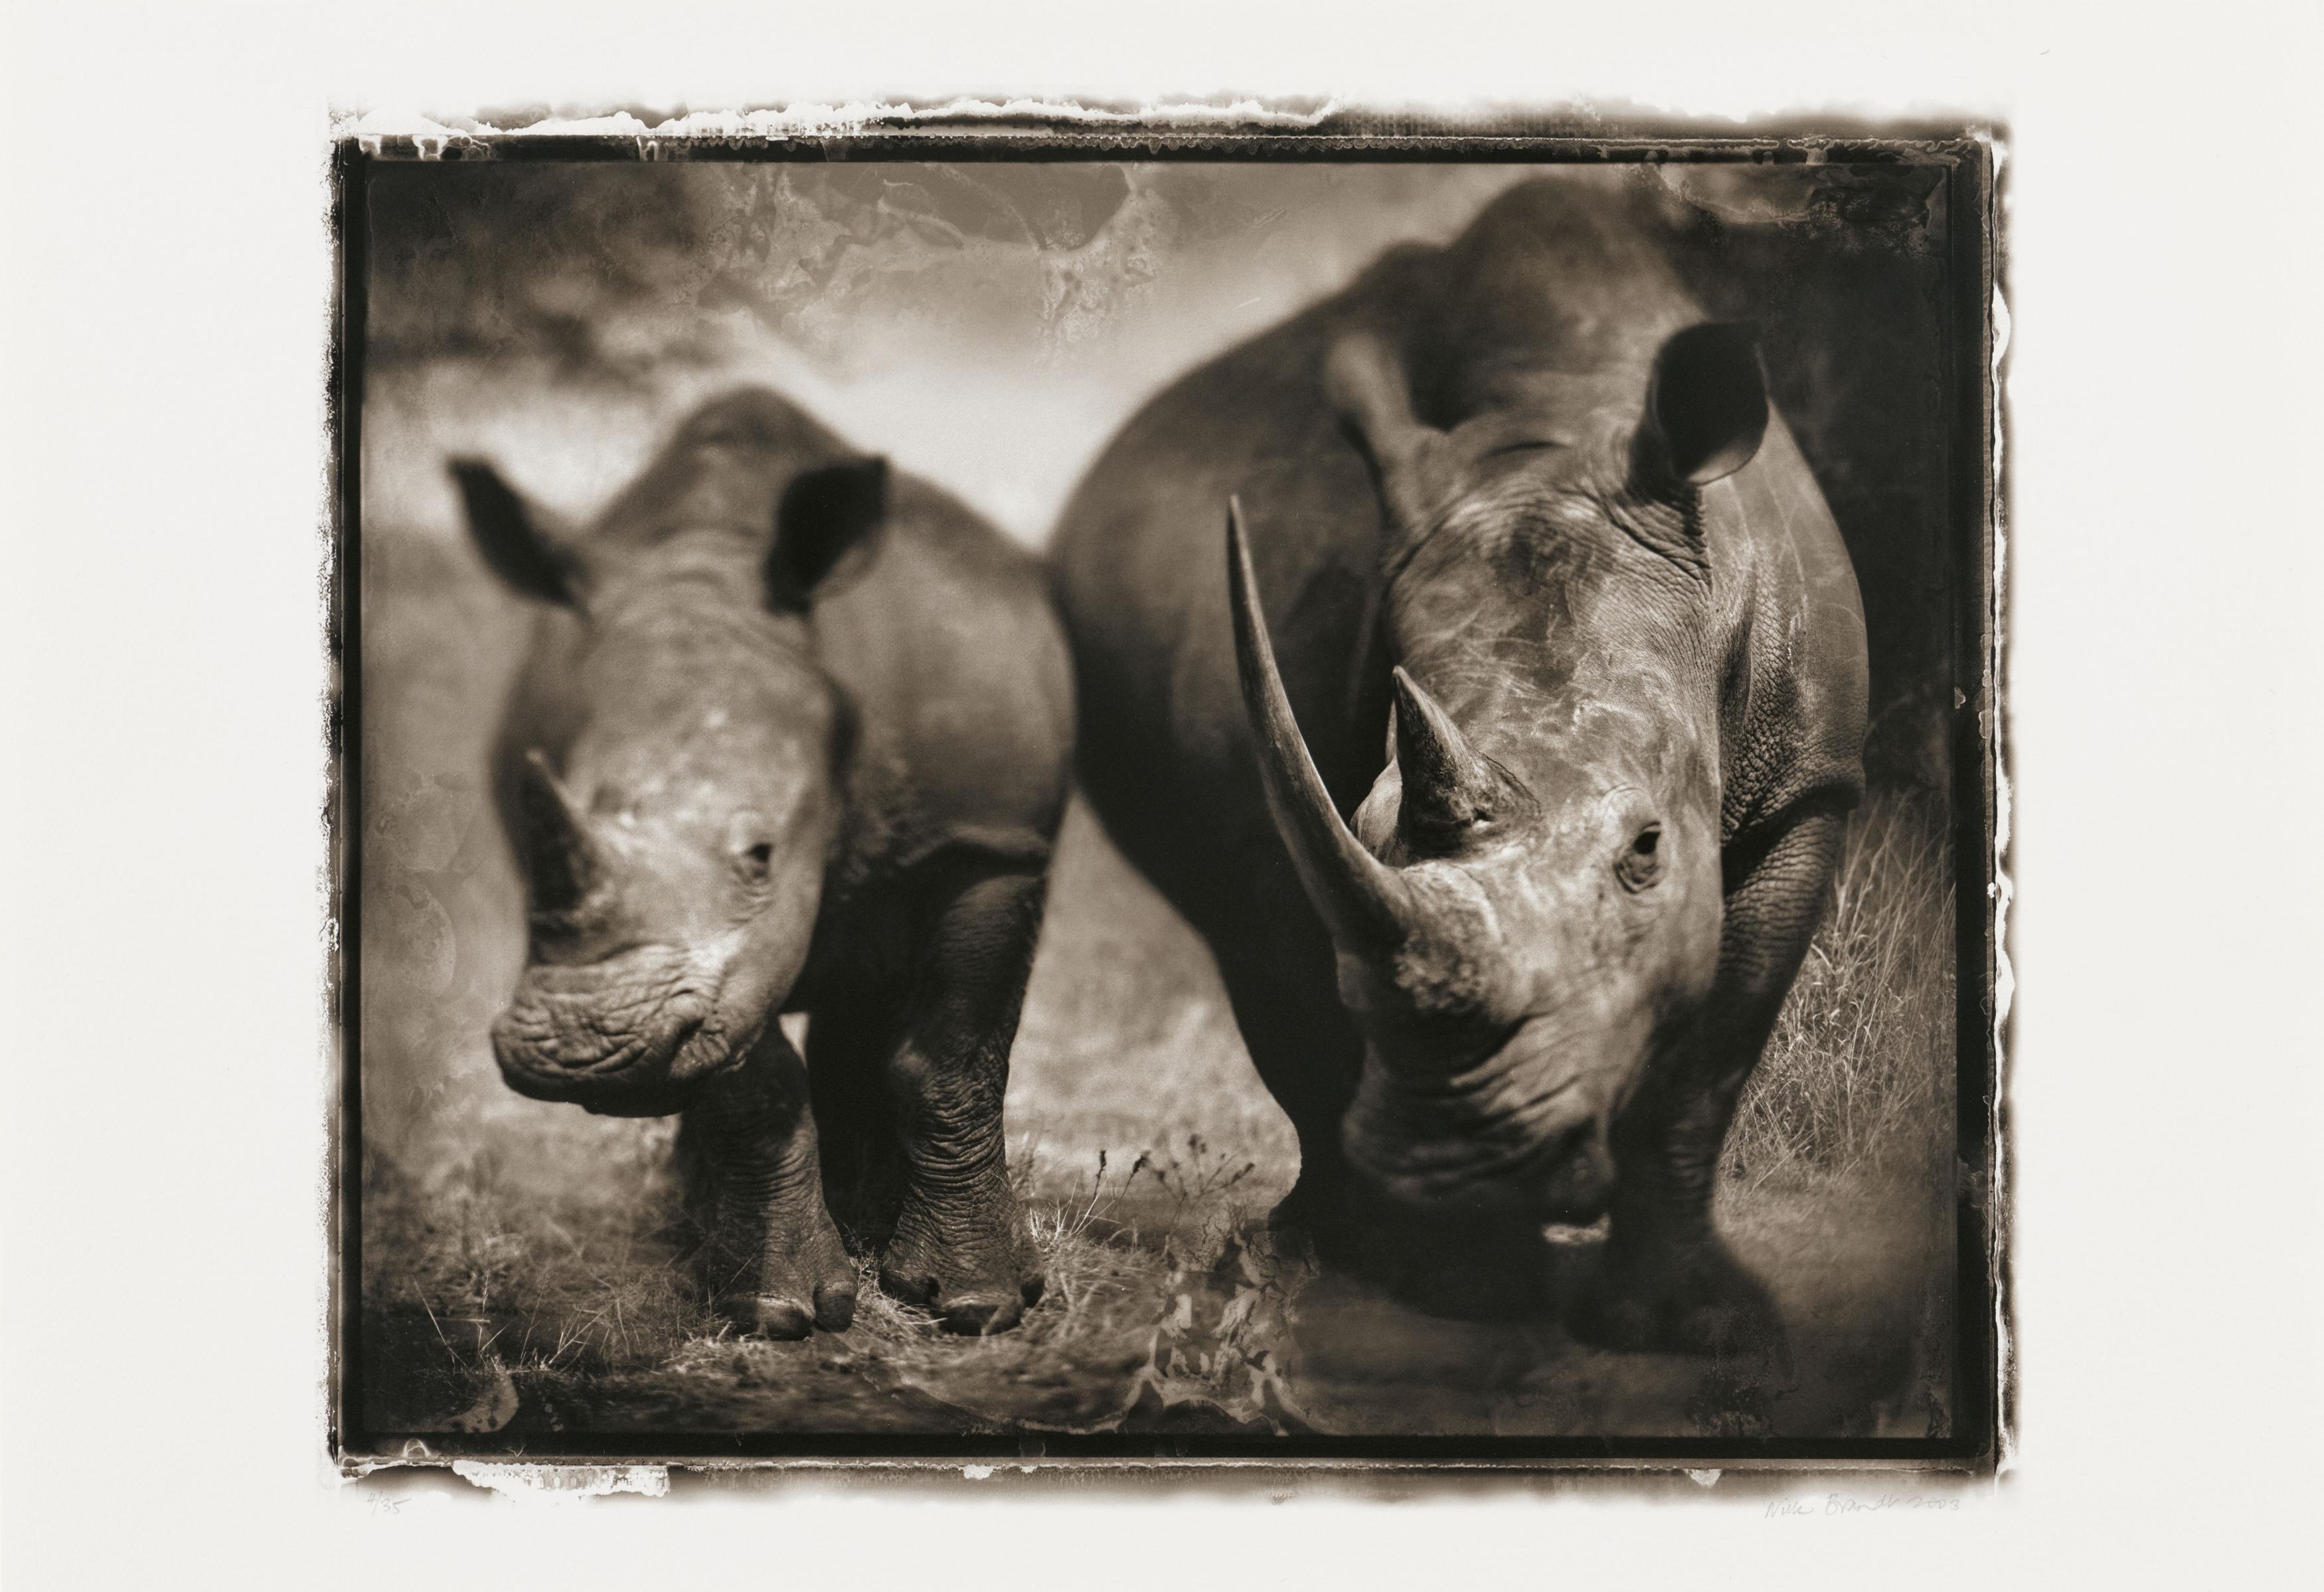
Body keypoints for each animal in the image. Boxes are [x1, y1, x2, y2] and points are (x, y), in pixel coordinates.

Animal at [451, 388, 1072, 1337]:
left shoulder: (992, 839)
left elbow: (955, 1055)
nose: (582, 1050)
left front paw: (978, 1301)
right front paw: (776, 1307)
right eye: (555, 814)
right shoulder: (719, 968)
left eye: (760, 856)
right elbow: (750, 1077)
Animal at [1050, 175, 1868, 1352]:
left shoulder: (1812, 782)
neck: (1551, 436)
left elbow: (1712, 1056)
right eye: (1369, 814)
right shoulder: (1295, 811)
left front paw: (1693, 1326)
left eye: (1647, 851)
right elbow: (1323, 975)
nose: (1455, 1158)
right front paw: (1458, 1283)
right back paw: (1303, 1249)